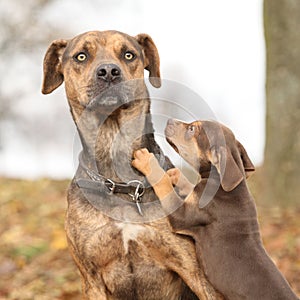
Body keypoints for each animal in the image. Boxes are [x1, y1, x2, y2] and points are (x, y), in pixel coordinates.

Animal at [134, 119, 300, 300]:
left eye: (192, 129)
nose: (169, 120)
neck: (221, 183)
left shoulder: (182, 215)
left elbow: (164, 186)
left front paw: (148, 162)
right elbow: (190, 186)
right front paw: (174, 174)